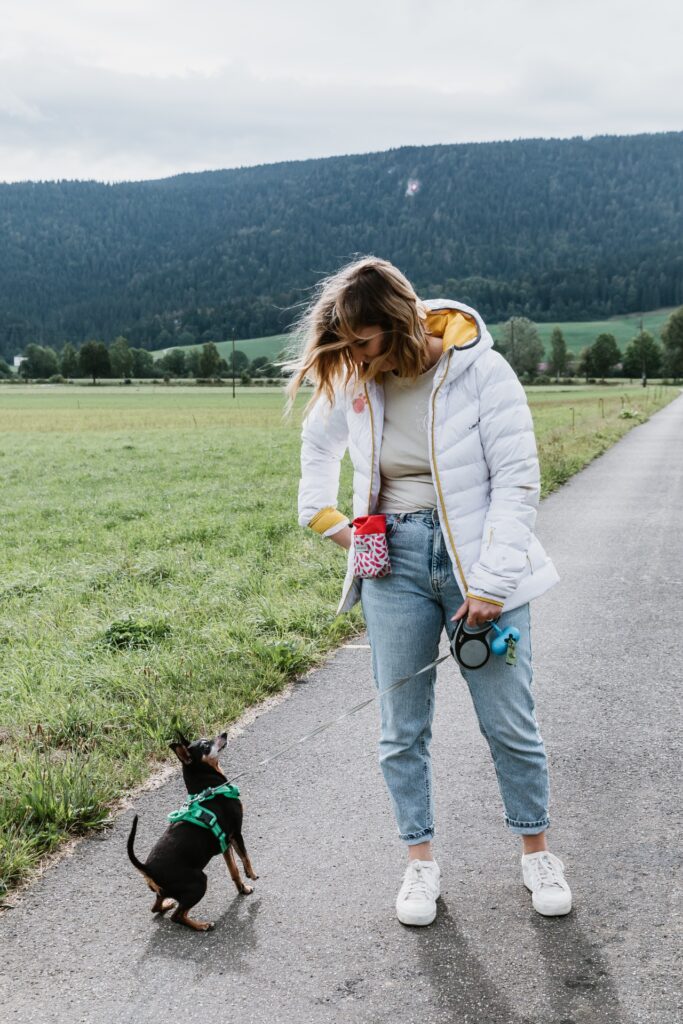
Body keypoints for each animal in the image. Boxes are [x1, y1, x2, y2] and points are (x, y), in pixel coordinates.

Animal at [127, 730, 257, 931]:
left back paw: (167, 905)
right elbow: (245, 857)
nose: (224, 733)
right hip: (198, 882)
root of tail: (147, 868)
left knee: (156, 907)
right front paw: (252, 874)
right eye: (205, 746)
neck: (209, 789)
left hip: (166, 891)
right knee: (177, 916)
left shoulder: (225, 843)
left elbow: (234, 870)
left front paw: (242, 889)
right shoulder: (236, 833)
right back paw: (202, 925)